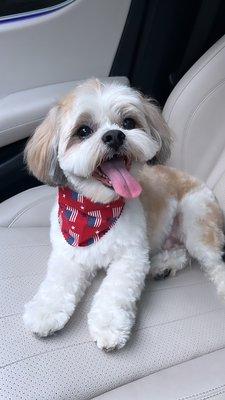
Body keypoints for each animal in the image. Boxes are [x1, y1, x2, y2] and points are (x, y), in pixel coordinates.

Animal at [23, 78, 225, 350]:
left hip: (197, 220)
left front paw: (108, 327)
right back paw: (161, 266)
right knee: (181, 253)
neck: (94, 211)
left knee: (213, 263)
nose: (114, 135)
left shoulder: (130, 258)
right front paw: (44, 312)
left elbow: (114, 292)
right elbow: (56, 284)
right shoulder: (69, 255)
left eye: (128, 123)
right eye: (83, 131)